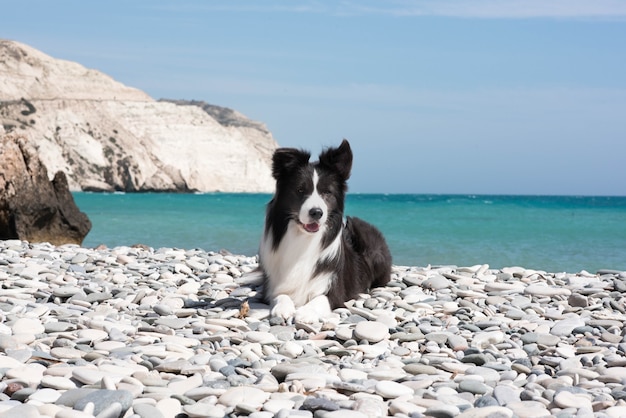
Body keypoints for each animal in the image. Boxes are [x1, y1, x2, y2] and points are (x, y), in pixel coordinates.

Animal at [256, 140, 388, 324]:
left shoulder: (335, 291)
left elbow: (320, 299)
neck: (303, 239)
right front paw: (283, 308)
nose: (316, 212)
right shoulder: (271, 286)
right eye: (300, 190)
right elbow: (280, 295)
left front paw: (305, 312)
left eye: (327, 192)